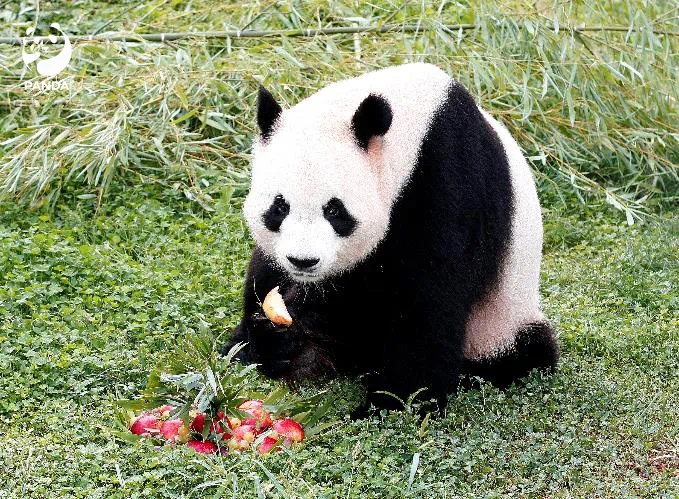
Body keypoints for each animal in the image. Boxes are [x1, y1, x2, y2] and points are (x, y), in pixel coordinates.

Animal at [224, 63, 558, 412]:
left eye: (334, 210)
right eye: (280, 207)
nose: (303, 261)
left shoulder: (447, 181)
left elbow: (427, 300)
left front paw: (395, 403)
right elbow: (265, 272)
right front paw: (271, 339)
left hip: (500, 319)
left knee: (522, 352)